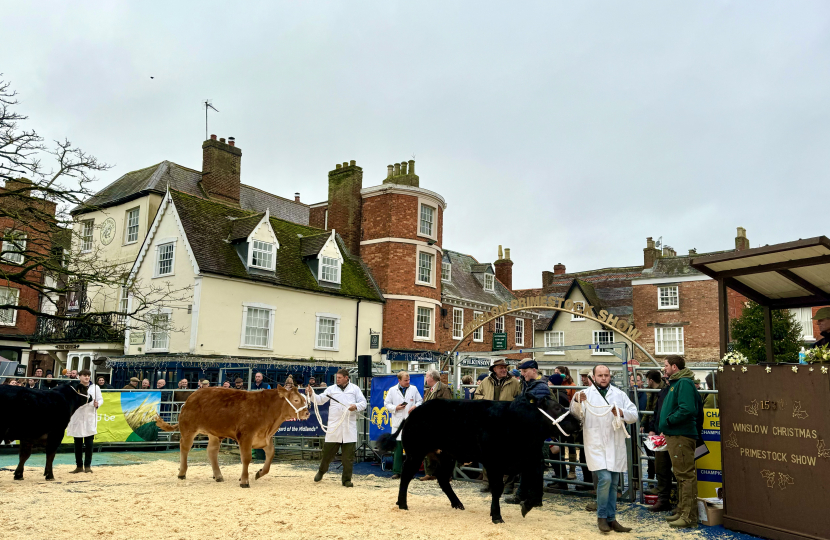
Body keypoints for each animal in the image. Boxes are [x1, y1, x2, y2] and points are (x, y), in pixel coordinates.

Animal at [155, 386, 308, 488]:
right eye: (296, 399)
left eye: (304, 399)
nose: (307, 412)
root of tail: (191, 397)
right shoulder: (246, 436)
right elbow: (246, 458)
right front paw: (244, 481)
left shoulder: (263, 438)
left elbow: (270, 455)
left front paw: (259, 473)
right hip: (188, 428)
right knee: (185, 448)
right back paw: (182, 473)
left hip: (214, 434)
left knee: (212, 452)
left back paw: (218, 476)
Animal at [380, 392, 580, 524]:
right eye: (556, 407)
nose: (577, 421)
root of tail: (414, 411)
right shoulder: (493, 462)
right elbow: (497, 488)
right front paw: (497, 516)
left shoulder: (531, 459)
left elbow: (537, 485)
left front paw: (527, 506)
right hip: (416, 452)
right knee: (406, 475)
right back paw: (402, 504)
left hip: (446, 454)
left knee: (443, 479)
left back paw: (457, 504)